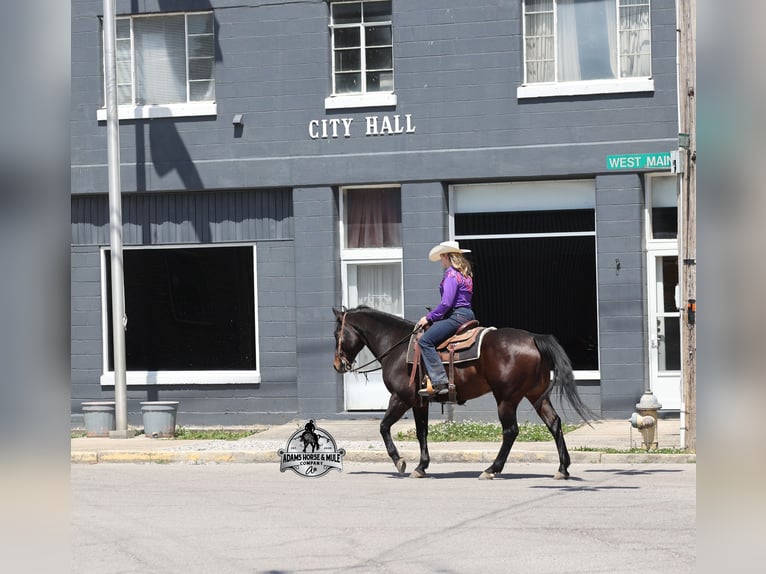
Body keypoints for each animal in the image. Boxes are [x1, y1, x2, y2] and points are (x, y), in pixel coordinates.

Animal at [332, 306, 595, 480]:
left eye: (337, 334)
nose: (337, 364)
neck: (396, 346)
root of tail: (532, 338)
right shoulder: (419, 402)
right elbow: (421, 433)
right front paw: (421, 467)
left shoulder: (401, 398)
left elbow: (384, 426)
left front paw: (400, 462)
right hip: (535, 394)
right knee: (554, 423)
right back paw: (562, 469)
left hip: (506, 398)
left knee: (510, 431)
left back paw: (492, 469)